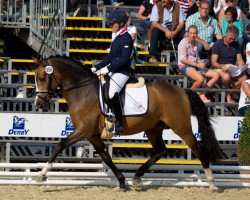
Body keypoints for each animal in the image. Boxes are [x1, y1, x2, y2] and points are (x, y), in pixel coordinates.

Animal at [33, 55, 225, 191]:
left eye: (42, 77)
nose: (39, 104)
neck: (82, 90)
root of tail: (182, 90)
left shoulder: (84, 130)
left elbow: (60, 145)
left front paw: (41, 175)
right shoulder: (92, 135)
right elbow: (106, 157)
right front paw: (122, 182)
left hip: (181, 127)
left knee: (197, 149)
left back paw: (212, 183)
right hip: (153, 129)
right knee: (160, 151)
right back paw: (137, 178)